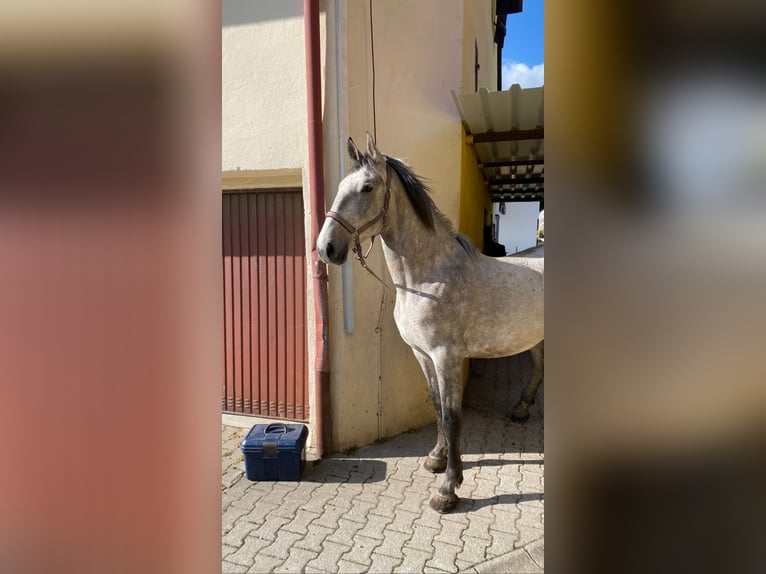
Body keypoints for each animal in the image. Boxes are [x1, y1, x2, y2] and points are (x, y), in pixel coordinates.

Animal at [318, 136, 544, 516]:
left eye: (367, 187)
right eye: (338, 188)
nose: (326, 248)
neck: (428, 277)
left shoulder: (446, 357)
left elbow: (452, 417)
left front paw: (448, 489)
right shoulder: (422, 355)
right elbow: (437, 407)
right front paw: (437, 460)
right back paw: (521, 410)